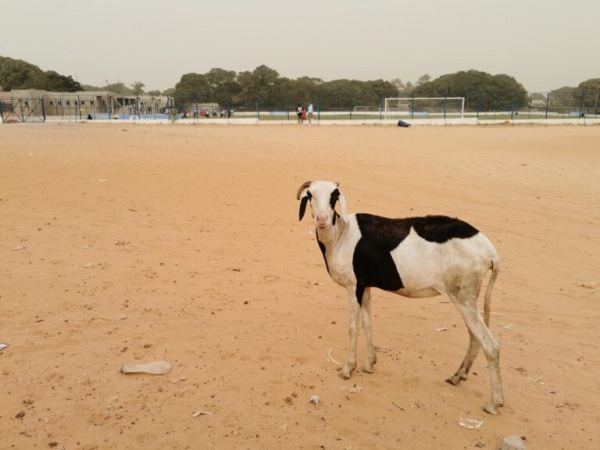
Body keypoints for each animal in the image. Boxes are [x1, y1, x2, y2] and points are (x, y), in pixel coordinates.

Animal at [298, 180, 504, 414]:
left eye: (333, 196)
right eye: (310, 195)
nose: (322, 219)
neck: (340, 236)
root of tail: (490, 252)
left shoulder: (353, 286)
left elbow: (353, 326)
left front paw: (348, 369)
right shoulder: (366, 286)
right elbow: (368, 322)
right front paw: (370, 364)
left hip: (463, 296)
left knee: (490, 345)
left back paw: (494, 403)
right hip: (467, 297)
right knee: (475, 338)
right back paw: (458, 376)